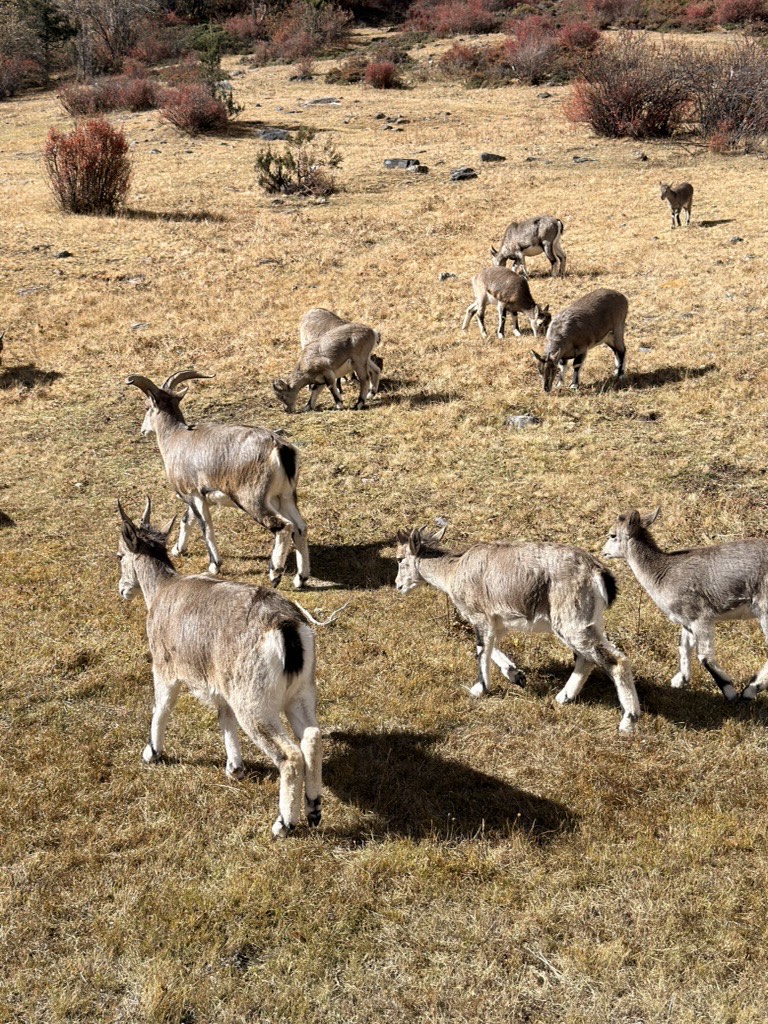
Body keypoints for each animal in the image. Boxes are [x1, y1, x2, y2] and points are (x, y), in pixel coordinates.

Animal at [116, 497, 322, 838]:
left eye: (119, 555)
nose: (122, 589)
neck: (160, 591)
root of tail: (287, 628)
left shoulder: (165, 665)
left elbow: (162, 706)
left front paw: (151, 753)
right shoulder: (220, 682)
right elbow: (223, 716)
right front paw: (234, 767)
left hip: (253, 702)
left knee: (290, 755)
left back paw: (283, 823)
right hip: (301, 692)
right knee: (312, 737)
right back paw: (314, 808)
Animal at [125, 369, 310, 588]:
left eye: (147, 407)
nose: (143, 430)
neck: (176, 438)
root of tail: (279, 447)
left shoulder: (194, 495)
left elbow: (205, 526)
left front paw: (214, 565)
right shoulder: (197, 497)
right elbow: (187, 519)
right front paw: (178, 549)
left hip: (253, 501)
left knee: (283, 526)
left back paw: (275, 574)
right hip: (285, 497)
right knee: (299, 527)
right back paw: (300, 578)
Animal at [395, 525, 640, 733]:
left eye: (399, 559)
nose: (398, 585)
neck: (454, 570)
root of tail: (598, 573)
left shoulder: (480, 616)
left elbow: (481, 650)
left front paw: (479, 689)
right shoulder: (497, 621)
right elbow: (492, 647)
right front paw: (516, 675)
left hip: (572, 622)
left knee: (615, 660)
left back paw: (628, 720)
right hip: (588, 622)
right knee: (586, 658)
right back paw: (564, 697)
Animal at [602, 508, 768, 703]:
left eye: (612, 535)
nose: (603, 552)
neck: (663, 575)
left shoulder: (700, 616)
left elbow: (704, 656)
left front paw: (730, 691)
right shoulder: (686, 620)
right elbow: (683, 646)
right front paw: (679, 680)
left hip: (765, 609)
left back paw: (749, 691)